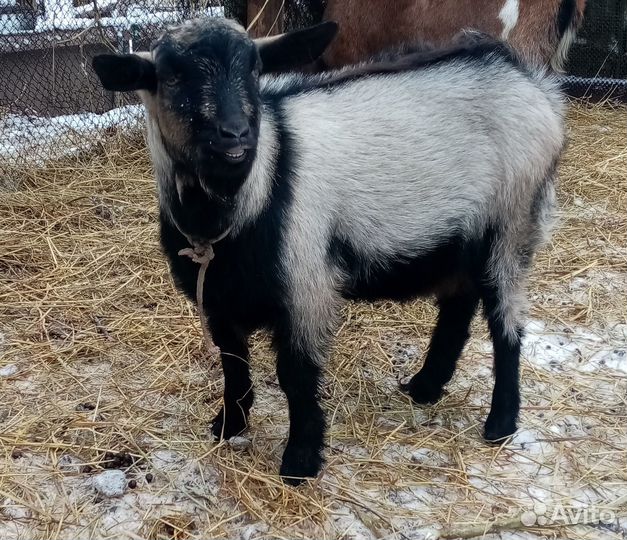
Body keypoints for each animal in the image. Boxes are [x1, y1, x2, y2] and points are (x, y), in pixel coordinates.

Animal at [92, 19, 564, 486]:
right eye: (172, 75)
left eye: (253, 68)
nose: (236, 135)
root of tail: (530, 82)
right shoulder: (218, 299)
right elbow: (233, 363)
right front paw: (229, 425)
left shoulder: (308, 287)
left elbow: (296, 377)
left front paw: (300, 461)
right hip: (457, 242)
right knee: (458, 307)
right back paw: (425, 388)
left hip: (512, 224)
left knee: (506, 322)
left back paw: (500, 423)